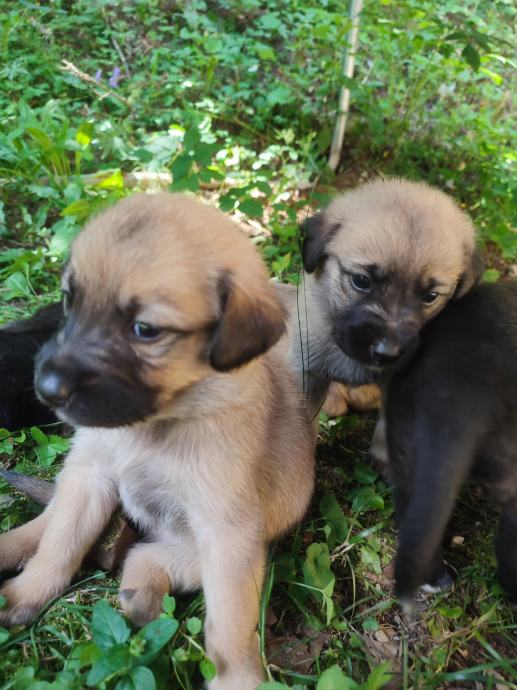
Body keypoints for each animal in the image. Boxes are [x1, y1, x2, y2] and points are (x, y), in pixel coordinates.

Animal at [0, 192, 314, 688]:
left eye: (145, 330)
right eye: (70, 300)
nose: (45, 389)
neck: (154, 424)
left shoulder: (227, 533)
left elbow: (231, 624)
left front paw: (238, 679)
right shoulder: (90, 475)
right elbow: (59, 545)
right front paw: (27, 593)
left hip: (196, 552)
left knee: (143, 560)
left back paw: (141, 597)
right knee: (46, 524)